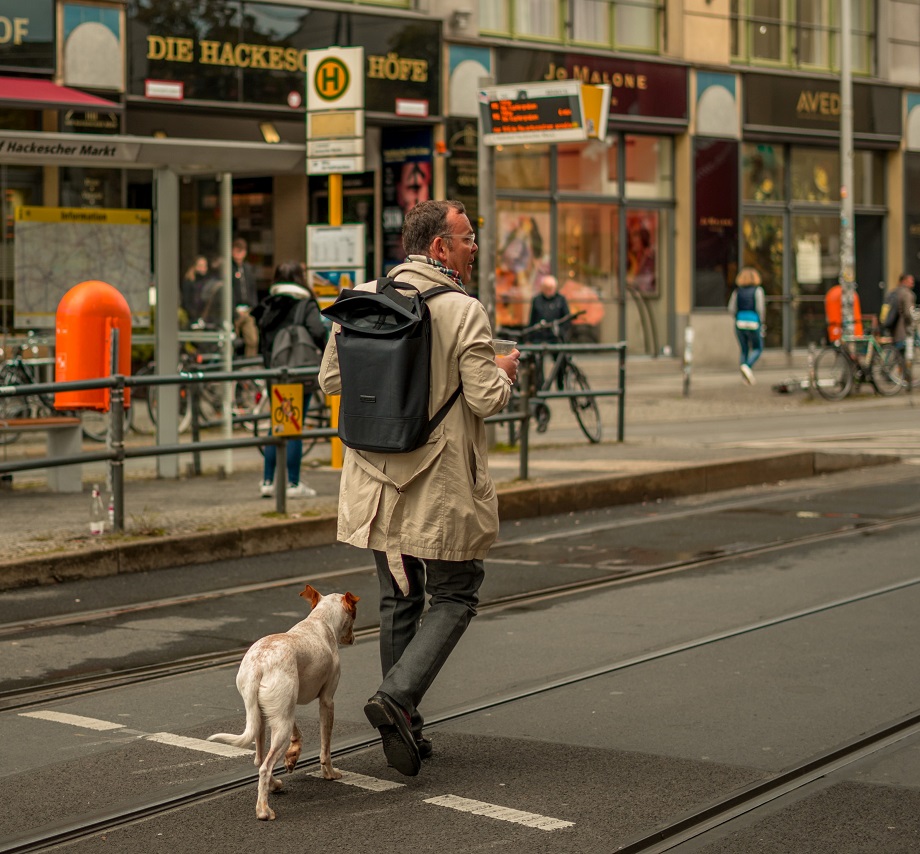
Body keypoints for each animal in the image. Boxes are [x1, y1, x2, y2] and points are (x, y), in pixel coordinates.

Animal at [208, 584, 360, 820]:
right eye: (354, 615)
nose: (353, 638)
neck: (320, 621)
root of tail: (259, 664)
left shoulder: (287, 707)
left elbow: (299, 735)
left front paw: (293, 754)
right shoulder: (327, 701)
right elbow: (325, 749)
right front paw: (329, 773)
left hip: (266, 719)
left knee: (260, 760)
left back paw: (274, 785)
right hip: (281, 724)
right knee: (265, 766)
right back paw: (263, 810)